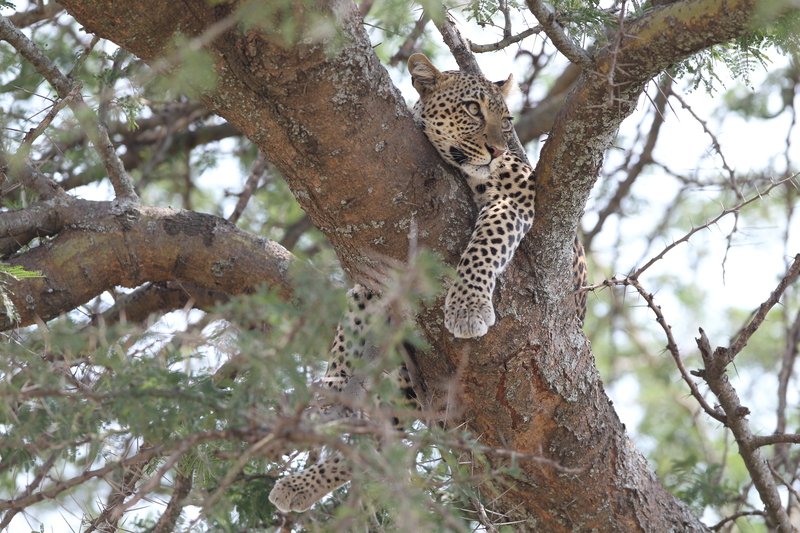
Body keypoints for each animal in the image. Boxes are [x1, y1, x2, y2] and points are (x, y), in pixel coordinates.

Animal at [268, 53, 588, 513]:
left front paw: (467, 307)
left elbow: (485, 242)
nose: (497, 149)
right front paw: (331, 391)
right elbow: (348, 334)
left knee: (378, 440)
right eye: (472, 109)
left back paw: (300, 482)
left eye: (507, 119)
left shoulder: (514, 195)